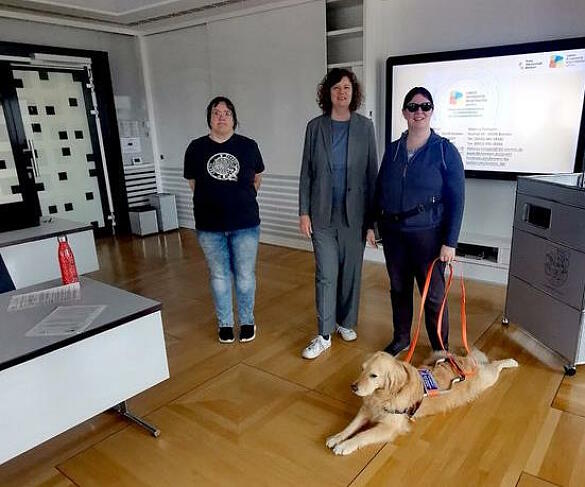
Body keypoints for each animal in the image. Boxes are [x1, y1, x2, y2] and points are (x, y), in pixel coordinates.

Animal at [326, 348, 516, 456]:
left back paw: (511, 361)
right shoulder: (367, 409)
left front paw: (345, 446)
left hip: (486, 379)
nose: (353, 387)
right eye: (362, 369)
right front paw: (336, 438)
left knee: (495, 365)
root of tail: (464, 363)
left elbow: (362, 435)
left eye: (374, 375)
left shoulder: (389, 427)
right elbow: (350, 427)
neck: (383, 395)